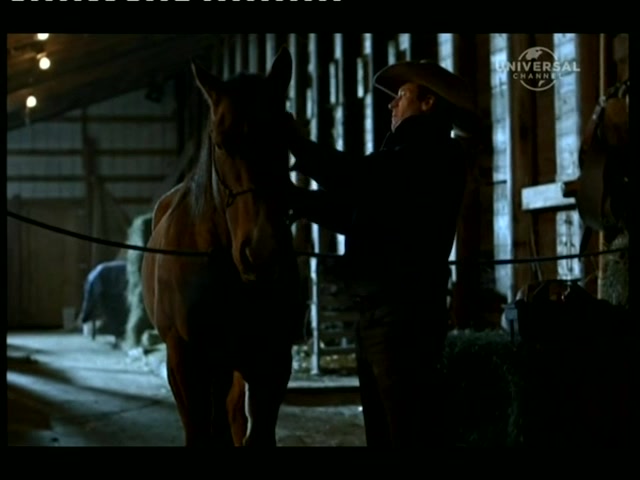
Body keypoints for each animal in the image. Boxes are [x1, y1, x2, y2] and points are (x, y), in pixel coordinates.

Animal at [141, 46, 305, 446]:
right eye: (220, 142)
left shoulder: (271, 362)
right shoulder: (186, 362)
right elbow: (200, 433)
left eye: (284, 138)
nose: (261, 254)